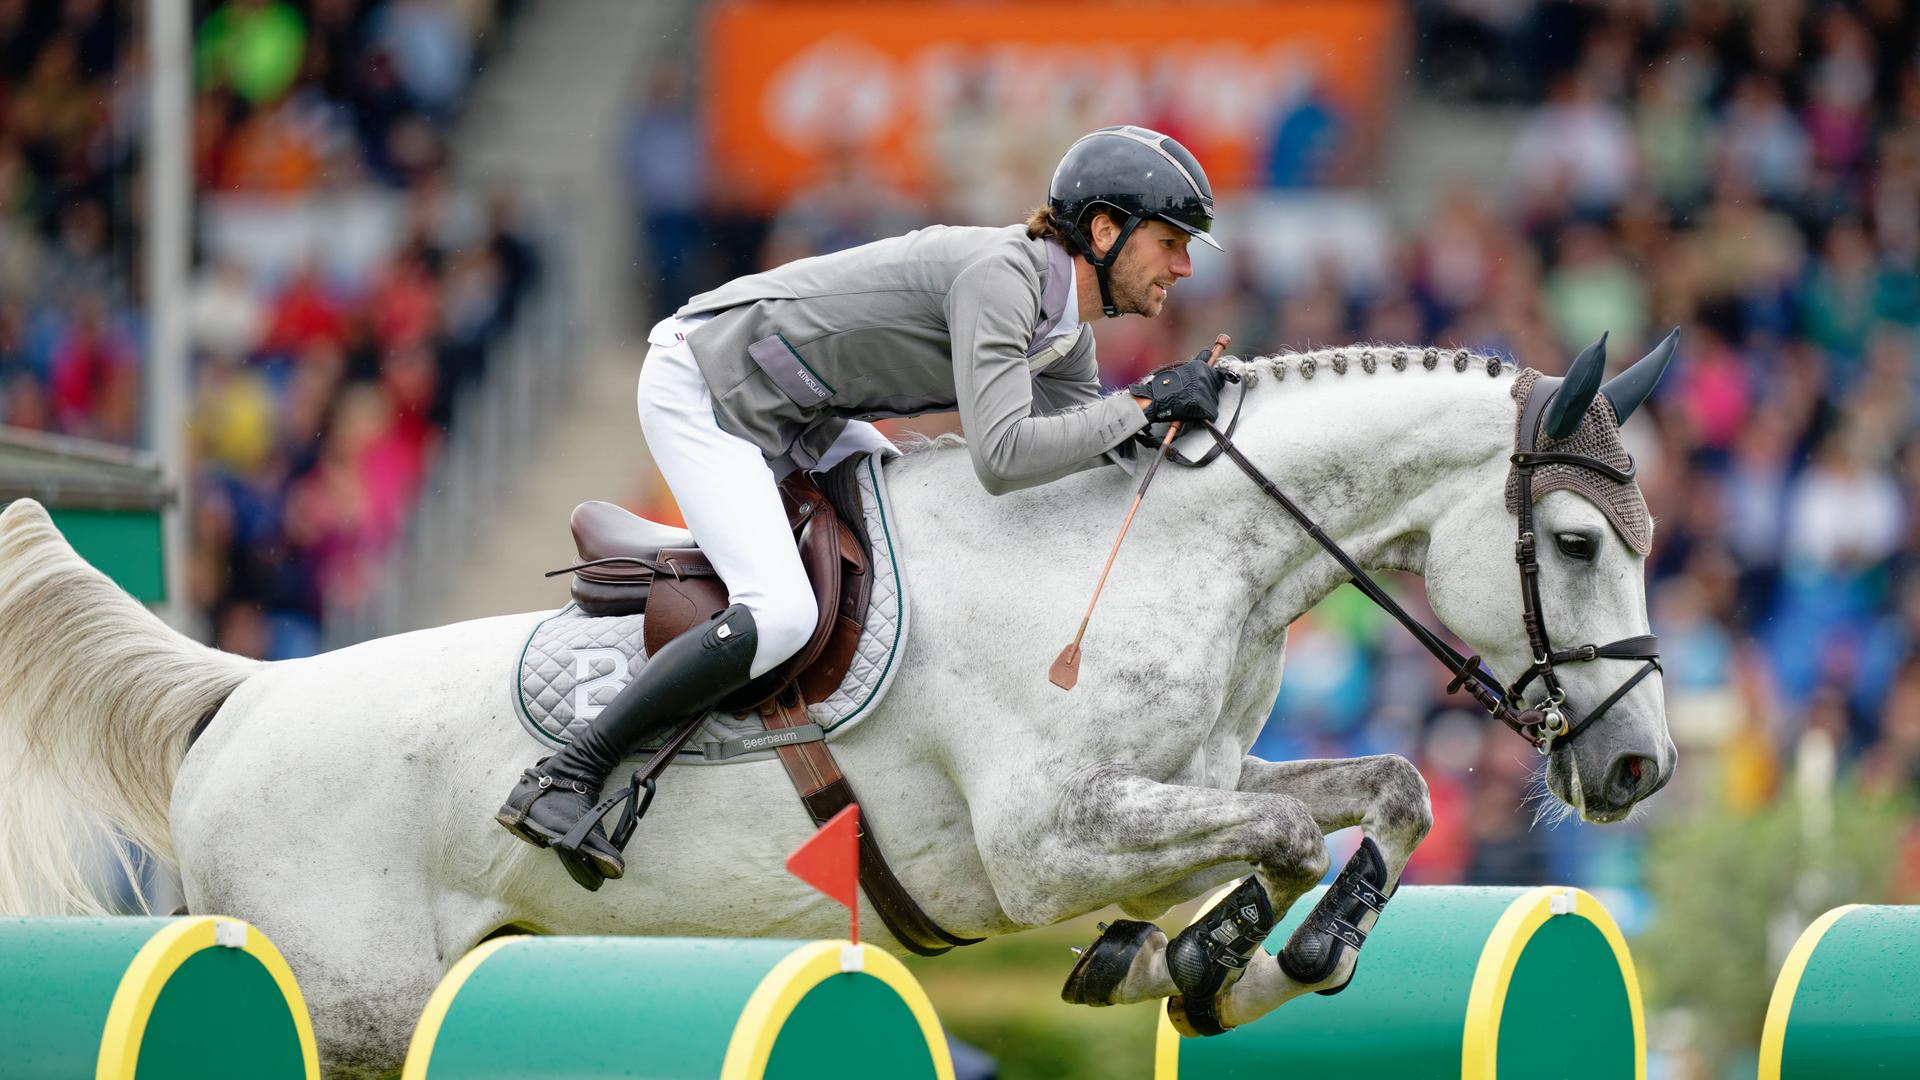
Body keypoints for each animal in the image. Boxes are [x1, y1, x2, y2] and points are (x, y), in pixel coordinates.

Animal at [0, 339, 1675, 1077]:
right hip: (351, 1004)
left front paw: (1237, 963)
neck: (1164, 549)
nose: (1643, 772)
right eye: (1576, 542)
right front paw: (1215, 958)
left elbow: (1379, 790)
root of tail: (245, 693)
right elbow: (1271, 839)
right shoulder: (1042, 848)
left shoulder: (1185, 783)